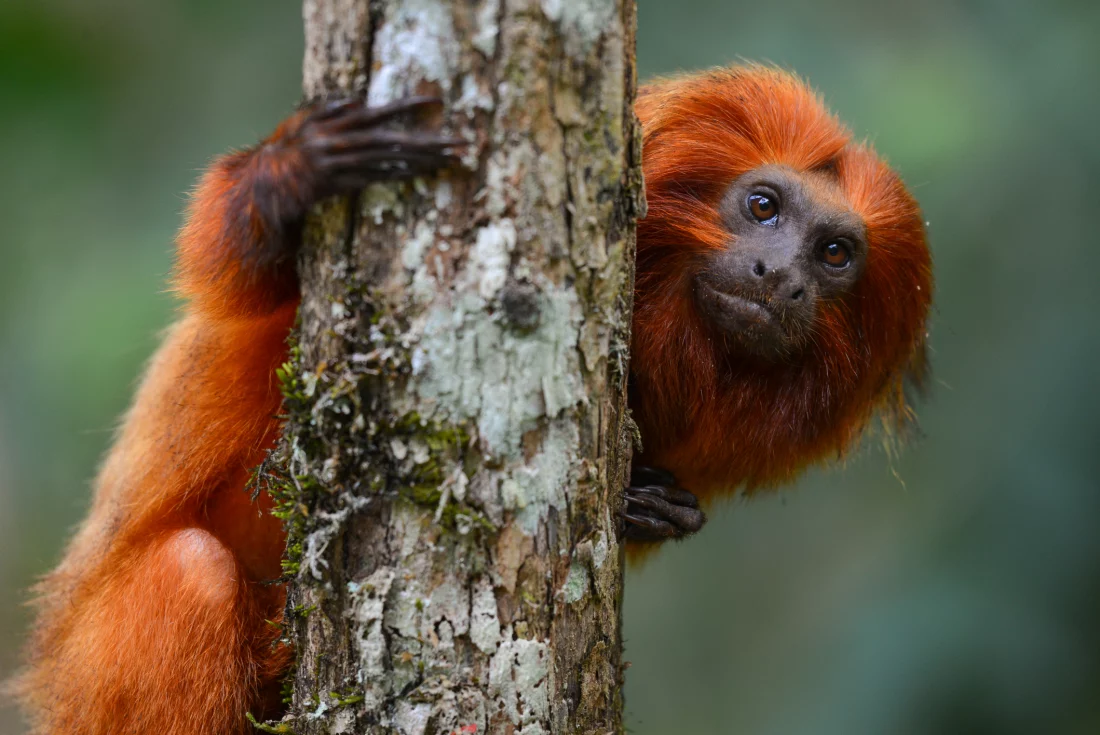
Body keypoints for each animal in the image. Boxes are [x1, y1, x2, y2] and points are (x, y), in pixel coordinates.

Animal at [12, 66, 932, 730]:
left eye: (834, 253)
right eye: (763, 206)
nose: (780, 279)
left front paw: (650, 503)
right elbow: (226, 268)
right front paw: (288, 175)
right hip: (86, 677)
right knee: (188, 573)